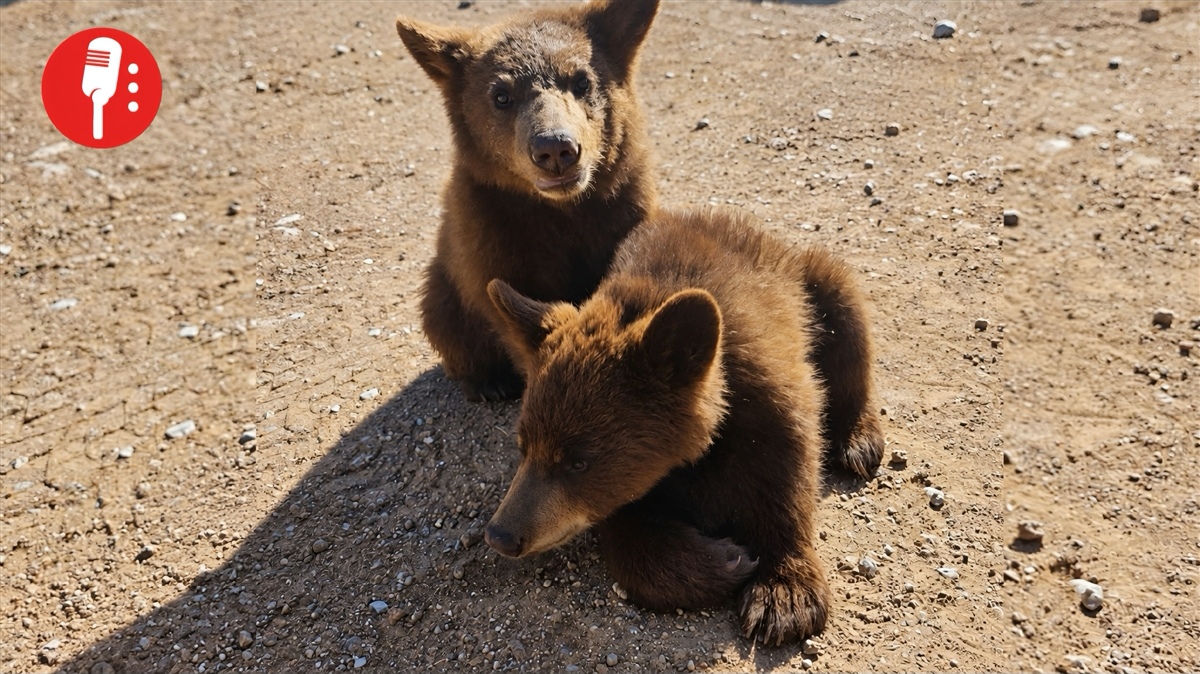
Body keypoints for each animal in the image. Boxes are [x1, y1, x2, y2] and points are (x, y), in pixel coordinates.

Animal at [395, 0, 660, 402]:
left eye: (582, 81)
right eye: (501, 96)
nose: (555, 149)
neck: (564, 209)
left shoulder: (626, 209)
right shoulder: (492, 241)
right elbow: (511, 318)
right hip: (444, 294)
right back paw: (489, 383)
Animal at [482, 207, 885, 645]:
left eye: (578, 461)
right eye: (523, 444)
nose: (502, 535)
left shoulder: (768, 393)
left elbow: (786, 471)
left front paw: (784, 597)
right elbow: (628, 529)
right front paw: (726, 559)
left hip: (810, 283)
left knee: (846, 315)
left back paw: (859, 441)